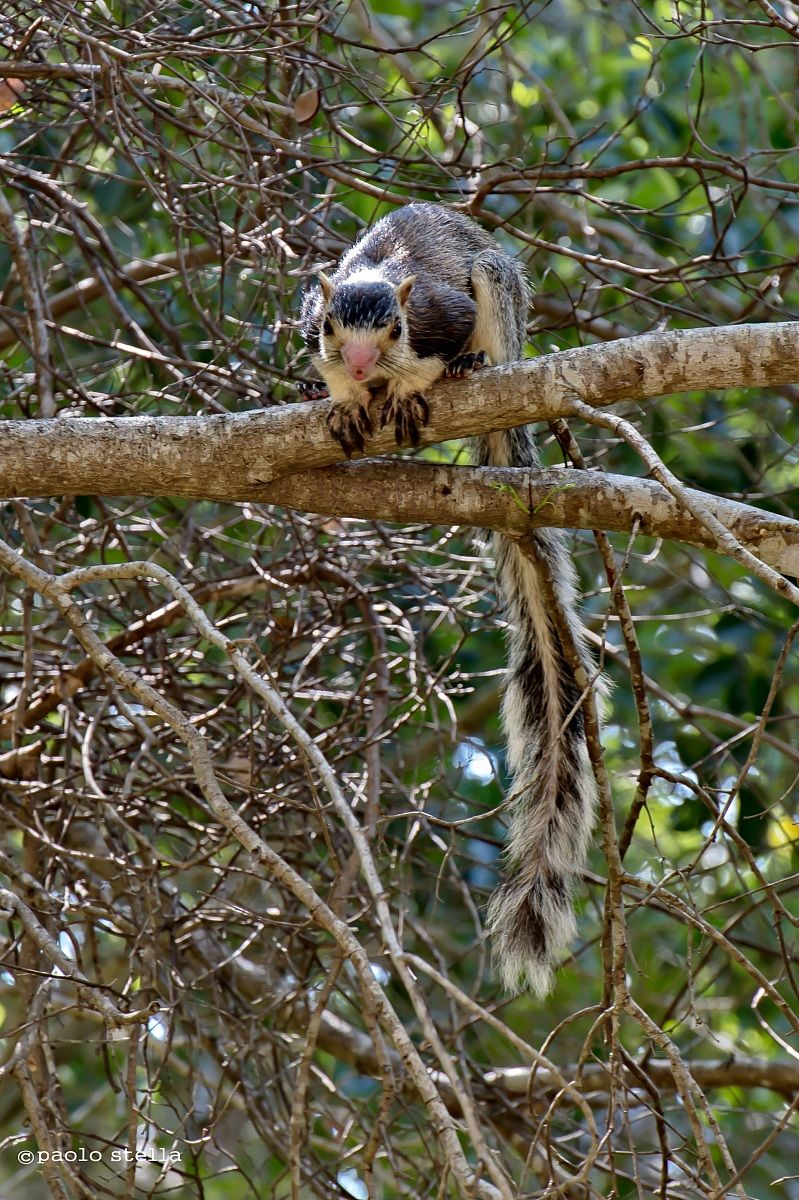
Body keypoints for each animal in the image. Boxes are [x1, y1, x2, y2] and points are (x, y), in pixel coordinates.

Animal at [300, 202, 599, 996]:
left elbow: (441, 348)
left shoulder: (444, 313)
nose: (362, 367)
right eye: (329, 327)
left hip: (499, 295)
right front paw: (343, 399)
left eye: (396, 329)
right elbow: (327, 377)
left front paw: (414, 384)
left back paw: (471, 370)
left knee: (487, 340)